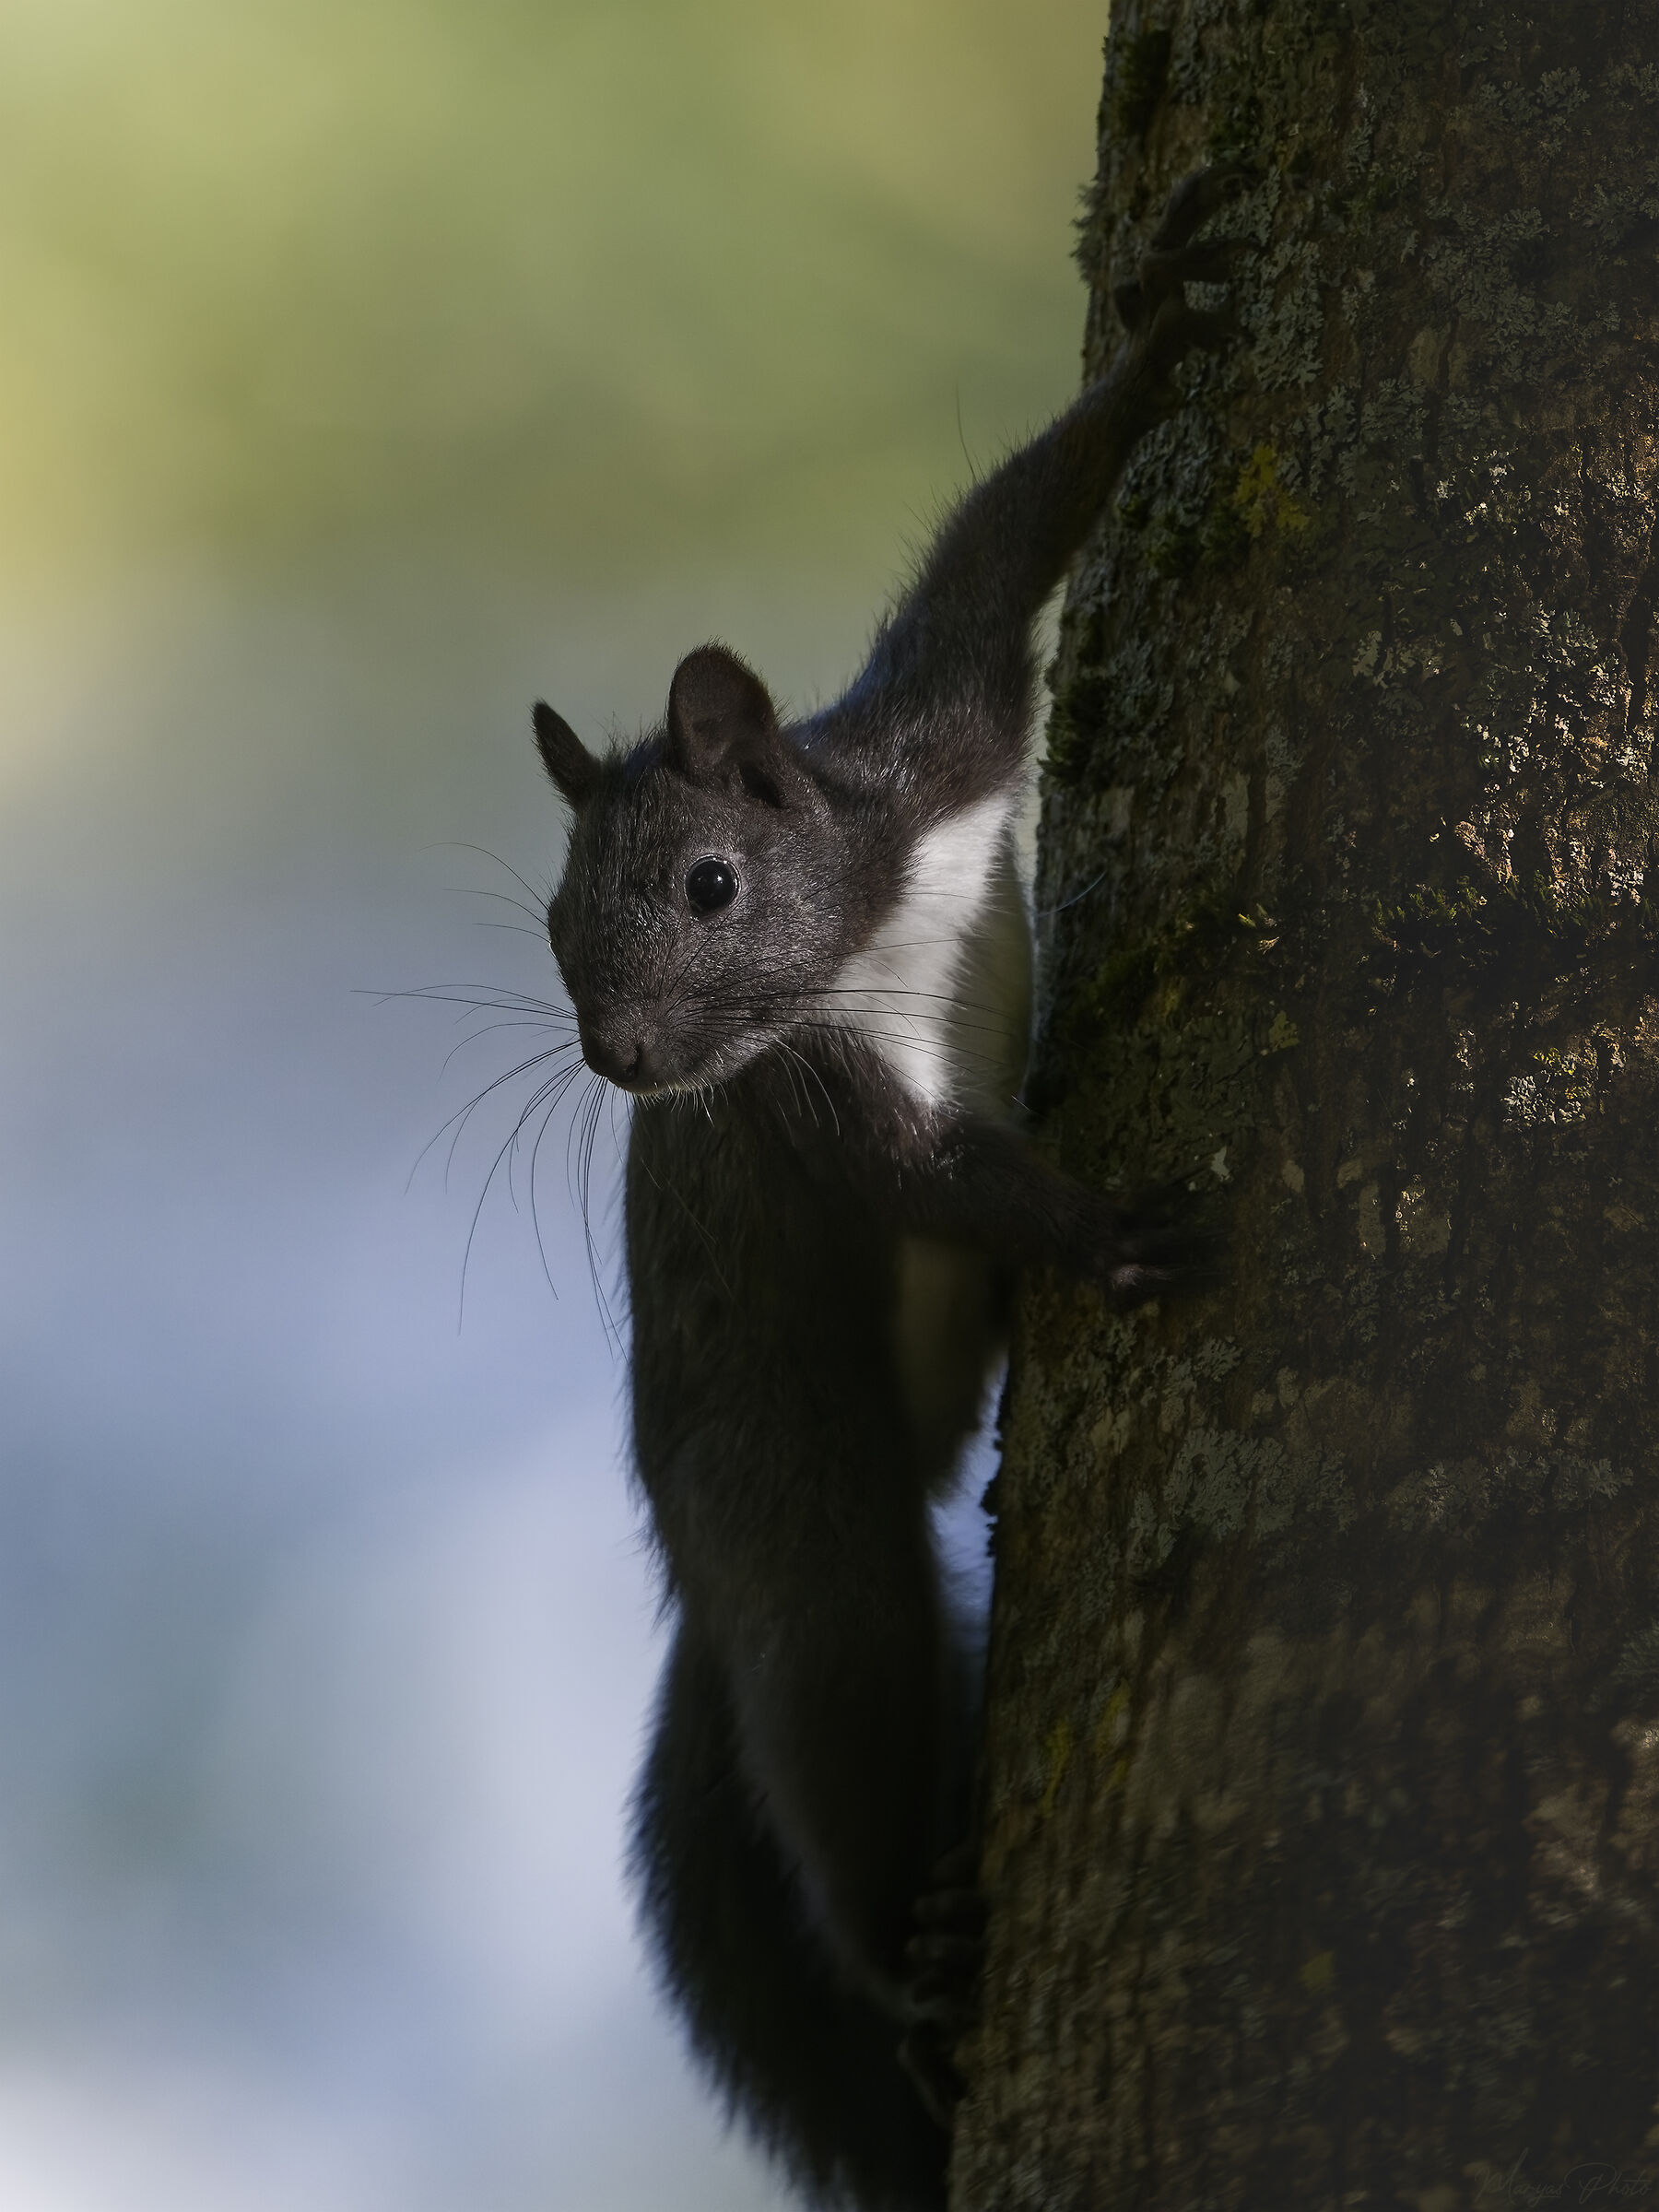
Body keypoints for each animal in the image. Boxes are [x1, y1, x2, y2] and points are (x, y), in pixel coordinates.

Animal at [528, 166, 1247, 2211]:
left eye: (706, 882)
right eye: (549, 927)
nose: (625, 1061)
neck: (855, 932)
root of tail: (697, 1591)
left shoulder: (936, 738)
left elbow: (1007, 536)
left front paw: (1163, 326)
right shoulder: (803, 1103)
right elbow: (945, 1183)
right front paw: (1113, 1238)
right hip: (806, 1530)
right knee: (837, 1722)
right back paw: (909, 1967)